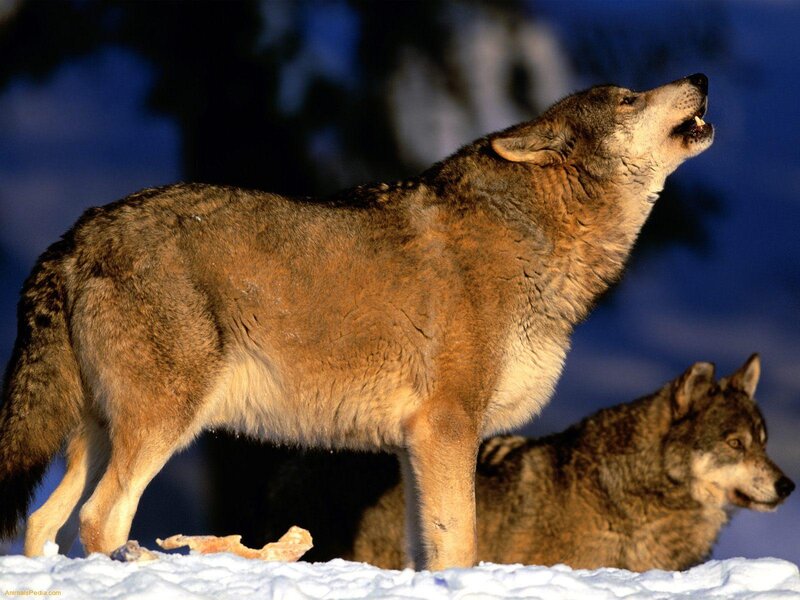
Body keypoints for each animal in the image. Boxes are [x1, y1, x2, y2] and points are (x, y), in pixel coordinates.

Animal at [0, 74, 713, 569]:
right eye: (628, 98)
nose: (701, 78)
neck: (537, 239)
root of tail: (76, 235)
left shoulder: (413, 445)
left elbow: (425, 548)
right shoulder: (448, 426)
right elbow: (461, 544)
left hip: (96, 435)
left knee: (42, 522)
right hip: (161, 427)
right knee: (98, 520)